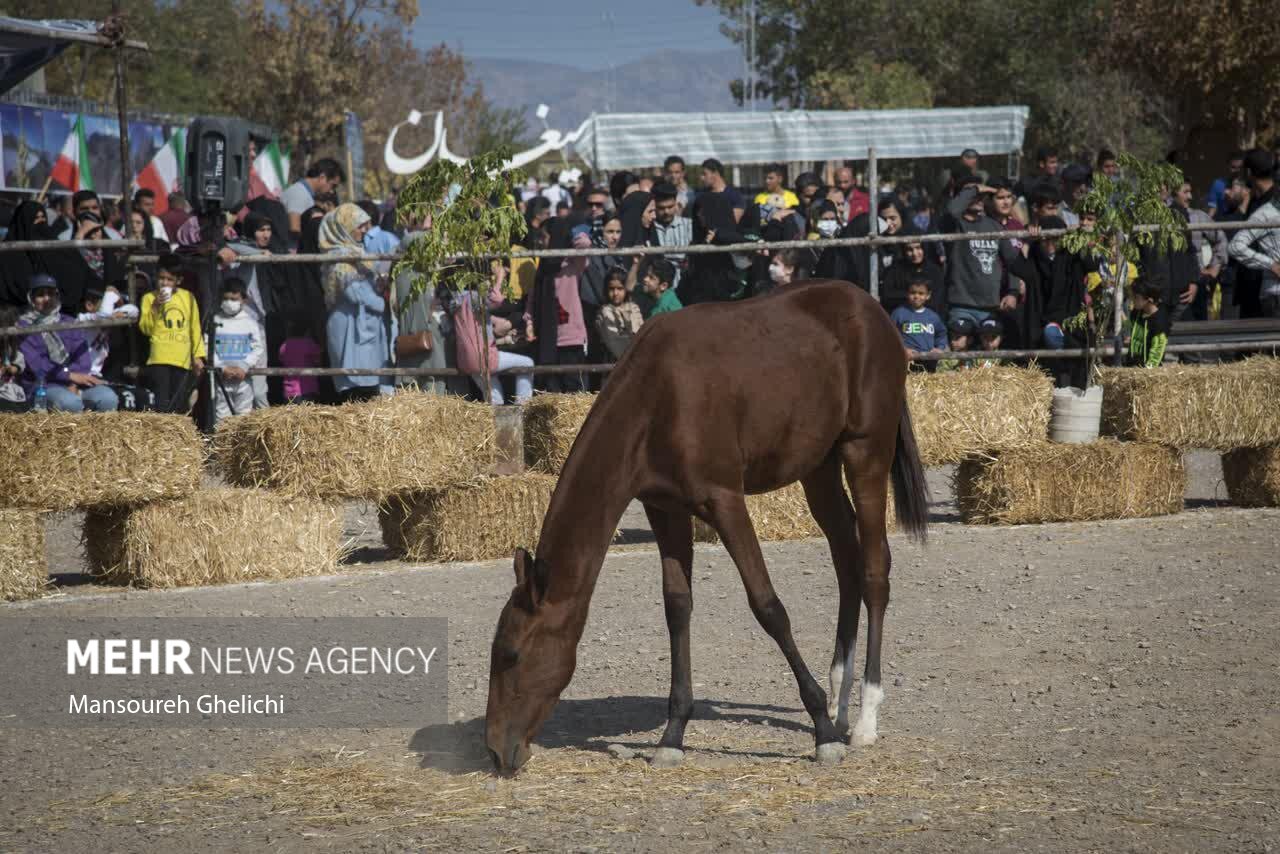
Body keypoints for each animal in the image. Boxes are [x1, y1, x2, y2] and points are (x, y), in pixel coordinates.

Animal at [483, 280, 926, 773]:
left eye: (511, 654)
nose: (496, 751)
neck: (657, 397)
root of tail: (871, 309)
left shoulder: (724, 501)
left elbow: (768, 607)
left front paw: (821, 732)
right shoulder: (665, 509)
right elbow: (677, 608)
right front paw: (673, 735)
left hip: (866, 452)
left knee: (873, 572)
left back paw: (863, 718)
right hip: (819, 468)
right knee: (847, 562)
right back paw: (839, 700)